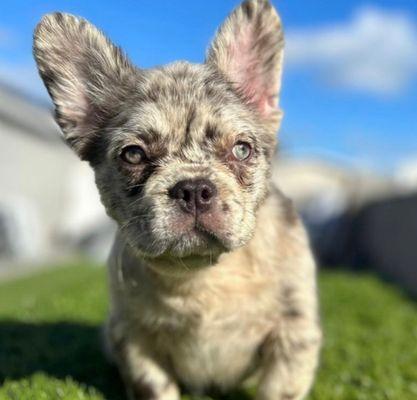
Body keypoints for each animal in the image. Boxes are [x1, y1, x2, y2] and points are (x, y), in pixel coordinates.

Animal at [34, 1, 320, 398]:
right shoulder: (134, 339)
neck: (203, 275)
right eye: (133, 155)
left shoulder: (293, 334)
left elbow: (279, 389)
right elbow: (155, 387)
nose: (194, 188)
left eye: (242, 150)